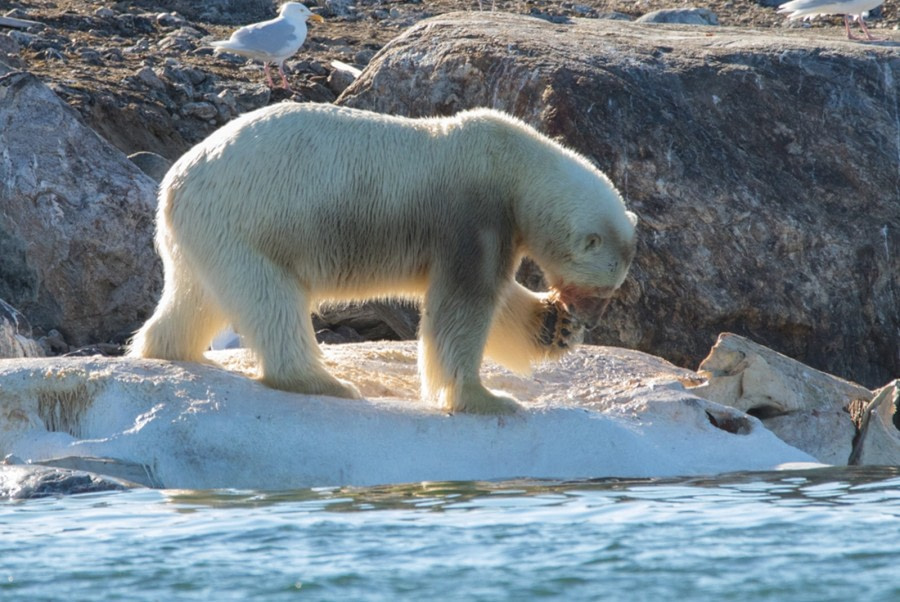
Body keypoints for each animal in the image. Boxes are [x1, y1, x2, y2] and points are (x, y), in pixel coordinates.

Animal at [128, 103, 640, 412]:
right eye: (602, 290)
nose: (586, 316)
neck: (513, 165)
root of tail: (174, 182)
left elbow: (495, 298)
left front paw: (554, 327)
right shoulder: (472, 217)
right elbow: (463, 306)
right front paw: (486, 397)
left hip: (205, 235)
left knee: (196, 297)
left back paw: (167, 349)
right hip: (248, 224)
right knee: (270, 300)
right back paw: (326, 382)